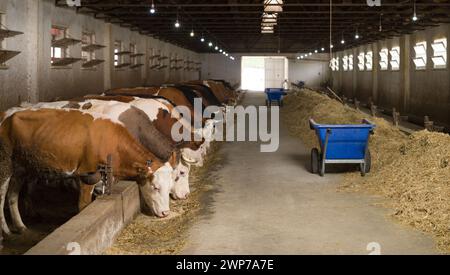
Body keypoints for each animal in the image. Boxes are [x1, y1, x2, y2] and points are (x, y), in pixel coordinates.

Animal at [0, 109, 175, 240]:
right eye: (155, 187)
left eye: (169, 187)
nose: (166, 213)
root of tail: (7, 116)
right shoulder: (86, 175)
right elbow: (84, 205)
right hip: (6, 165)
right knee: (3, 195)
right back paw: (6, 231)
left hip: (22, 168)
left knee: (12, 195)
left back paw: (20, 226)